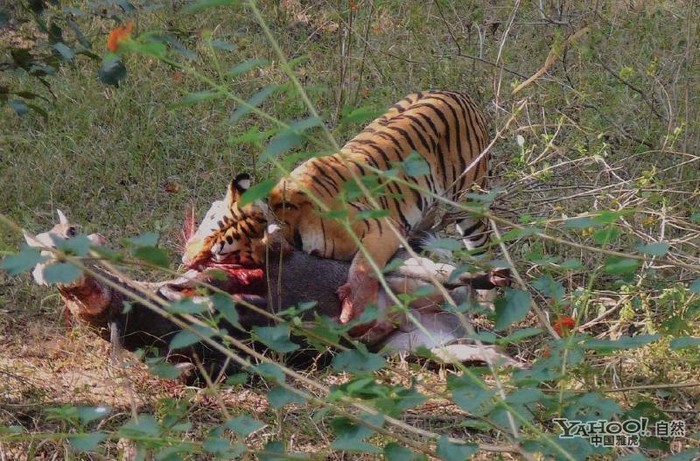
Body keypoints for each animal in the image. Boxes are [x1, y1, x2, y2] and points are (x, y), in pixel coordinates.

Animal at [183, 90, 490, 334]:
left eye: (219, 253)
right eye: (207, 224)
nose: (185, 261)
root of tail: (457, 93)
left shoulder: (381, 227)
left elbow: (364, 266)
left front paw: (354, 306)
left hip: (471, 205)